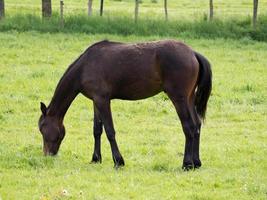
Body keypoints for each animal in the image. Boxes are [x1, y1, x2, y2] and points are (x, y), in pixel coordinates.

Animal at [38, 39, 213, 170]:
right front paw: (96, 158)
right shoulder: (96, 101)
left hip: (179, 98)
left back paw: (187, 164)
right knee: (197, 125)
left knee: (189, 127)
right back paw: (196, 162)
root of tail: (192, 53)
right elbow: (97, 130)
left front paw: (118, 161)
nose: (47, 155)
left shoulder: (103, 100)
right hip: (189, 98)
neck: (86, 66)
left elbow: (109, 131)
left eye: (42, 128)